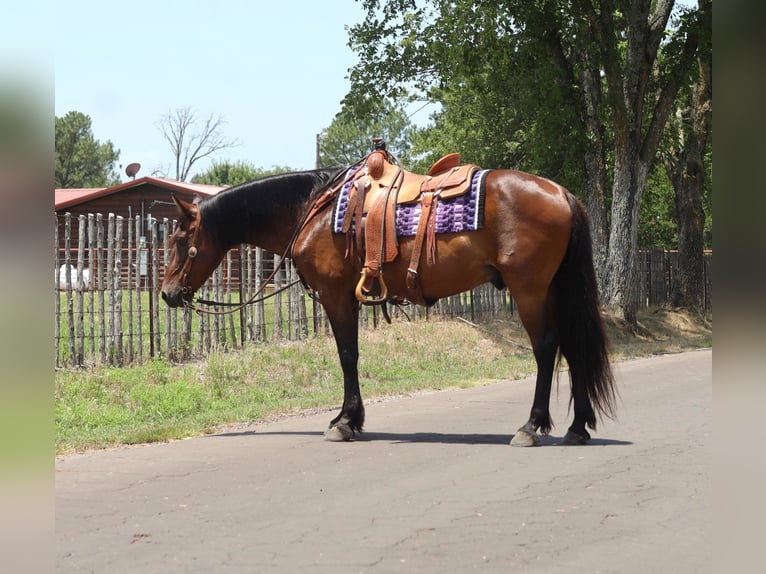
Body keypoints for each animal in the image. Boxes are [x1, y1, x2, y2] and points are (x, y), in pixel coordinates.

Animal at [162, 160, 616, 448]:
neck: (313, 209)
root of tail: (563, 194)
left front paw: (345, 422)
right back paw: (578, 428)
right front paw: (351, 418)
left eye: (181, 240)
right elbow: (352, 355)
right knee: (574, 348)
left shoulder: (335, 296)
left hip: (529, 291)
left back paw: (531, 427)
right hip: (554, 290)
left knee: (546, 348)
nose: (167, 293)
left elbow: (347, 355)